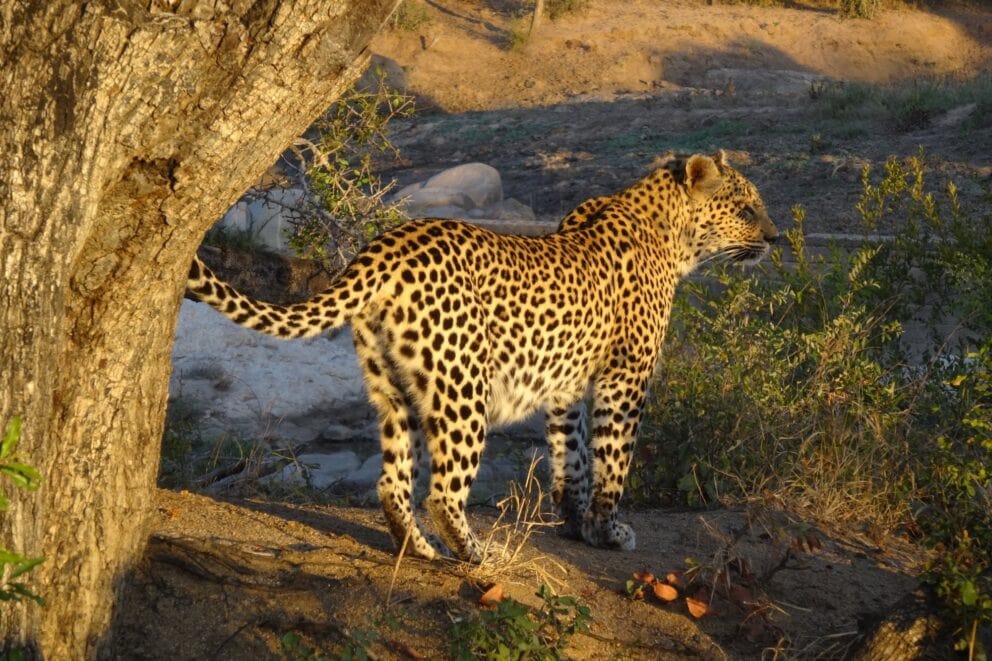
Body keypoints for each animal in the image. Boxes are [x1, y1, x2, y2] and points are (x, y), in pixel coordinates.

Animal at [186, 150, 778, 562]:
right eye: (748, 208)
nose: (774, 238)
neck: (673, 234)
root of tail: (384, 247)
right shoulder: (625, 380)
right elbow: (613, 460)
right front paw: (609, 530)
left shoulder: (566, 386)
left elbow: (572, 454)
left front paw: (575, 524)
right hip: (463, 387)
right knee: (443, 493)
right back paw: (474, 555)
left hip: (393, 388)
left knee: (392, 482)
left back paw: (421, 551)